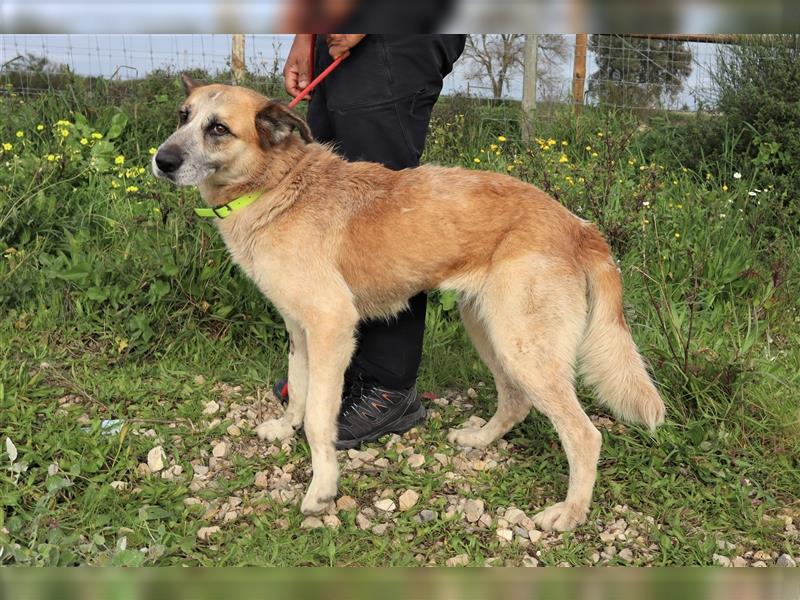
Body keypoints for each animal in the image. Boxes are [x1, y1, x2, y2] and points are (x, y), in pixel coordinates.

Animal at [153, 75, 664, 528]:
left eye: (219, 128)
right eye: (182, 116)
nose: (162, 160)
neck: (277, 186)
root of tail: (578, 225)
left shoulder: (332, 325)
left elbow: (320, 417)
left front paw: (322, 488)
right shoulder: (299, 327)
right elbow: (298, 388)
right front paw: (284, 427)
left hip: (523, 346)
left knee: (585, 434)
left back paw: (570, 513)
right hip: (490, 332)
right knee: (516, 400)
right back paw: (480, 439)